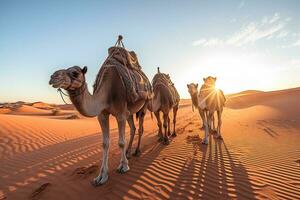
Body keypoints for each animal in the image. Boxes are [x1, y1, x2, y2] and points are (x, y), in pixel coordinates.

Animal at [49, 37, 152, 184]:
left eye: (75, 73)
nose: (53, 77)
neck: (107, 91)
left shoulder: (120, 114)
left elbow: (120, 142)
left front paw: (123, 166)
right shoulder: (102, 115)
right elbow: (105, 143)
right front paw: (101, 176)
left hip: (144, 104)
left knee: (141, 127)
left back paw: (137, 151)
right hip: (130, 111)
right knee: (133, 128)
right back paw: (128, 153)